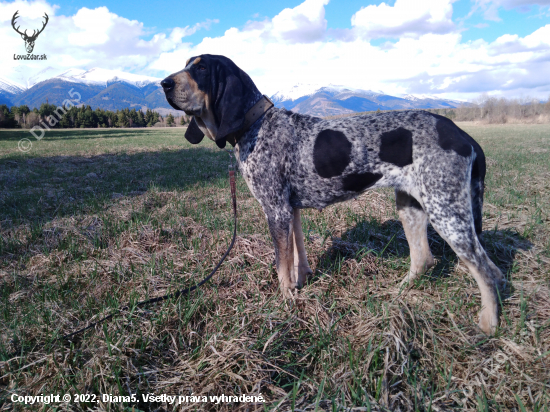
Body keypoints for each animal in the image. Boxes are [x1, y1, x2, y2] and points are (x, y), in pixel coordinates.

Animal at [162, 53, 506, 334]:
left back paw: (489, 323)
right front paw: (299, 287)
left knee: (486, 268)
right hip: (411, 206)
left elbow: (281, 265)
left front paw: (284, 303)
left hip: (446, 212)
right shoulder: (290, 210)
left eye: (201, 68)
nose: (163, 83)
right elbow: (297, 256)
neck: (255, 123)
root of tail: (462, 135)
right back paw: (398, 293)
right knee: (424, 258)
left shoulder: (275, 209)